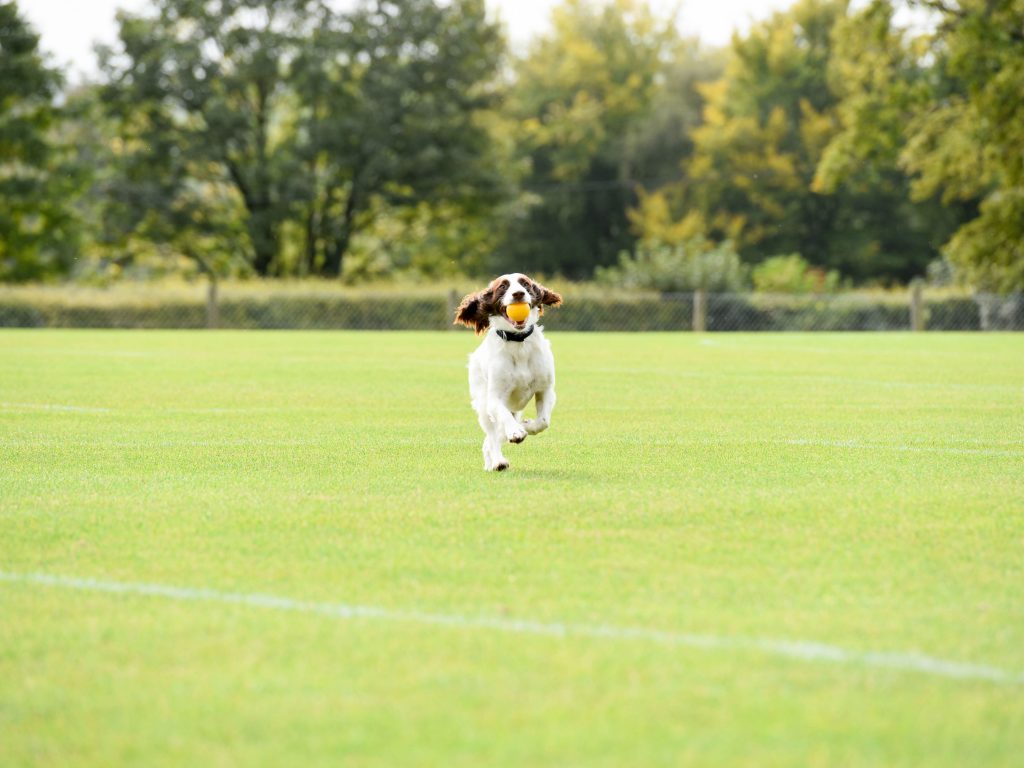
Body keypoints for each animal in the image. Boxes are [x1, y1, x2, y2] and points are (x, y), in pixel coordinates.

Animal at [456, 274, 565, 473]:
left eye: (525, 283)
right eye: (502, 286)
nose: (518, 294)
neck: (518, 343)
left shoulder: (545, 390)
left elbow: (543, 421)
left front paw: (527, 426)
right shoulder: (494, 399)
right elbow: (503, 415)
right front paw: (516, 432)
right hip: (483, 407)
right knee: (492, 437)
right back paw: (498, 462)